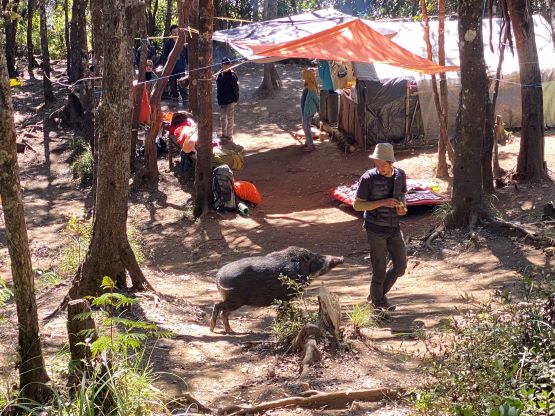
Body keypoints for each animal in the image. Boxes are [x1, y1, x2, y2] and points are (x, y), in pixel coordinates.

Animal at [209, 246, 344, 333]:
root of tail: (218, 277)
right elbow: (285, 311)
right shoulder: (286, 296)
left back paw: (230, 331)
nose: (341, 258)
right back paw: (213, 329)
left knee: (224, 312)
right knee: (218, 306)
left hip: (234, 301)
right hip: (235, 300)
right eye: (318, 259)